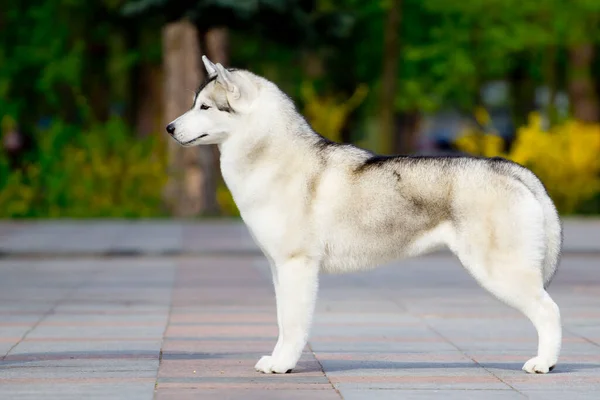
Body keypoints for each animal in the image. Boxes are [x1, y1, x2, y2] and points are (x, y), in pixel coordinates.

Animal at [165, 55, 564, 376]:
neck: (270, 158)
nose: (169, 127)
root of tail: (511, 169)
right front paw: (278, 359)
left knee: (550, 312)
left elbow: (293, 324)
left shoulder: (297, 265)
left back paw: (543, 363)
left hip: (501, 271)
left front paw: (282, 365)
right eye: (194, 104)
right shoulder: (279, 268)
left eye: (205, 107)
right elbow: (281, 320)